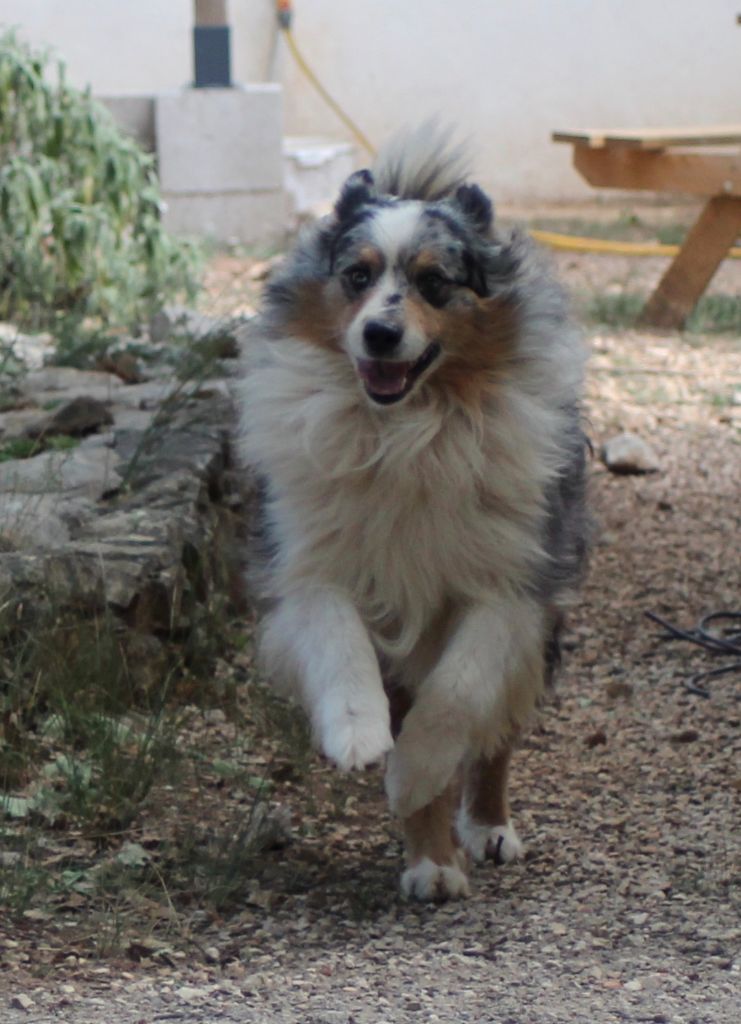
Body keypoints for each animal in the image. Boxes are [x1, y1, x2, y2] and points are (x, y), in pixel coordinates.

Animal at [238, 125, 588, 900]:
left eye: (434, 282)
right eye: (356, 276)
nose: (378, 336)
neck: (407, 432)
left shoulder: (510, 584)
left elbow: (459, 694)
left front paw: (414, 772)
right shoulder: (310, 566)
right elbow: (337, 638)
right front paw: (358, 737)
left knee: (496, 733)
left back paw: (483, 829)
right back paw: (431, 865)